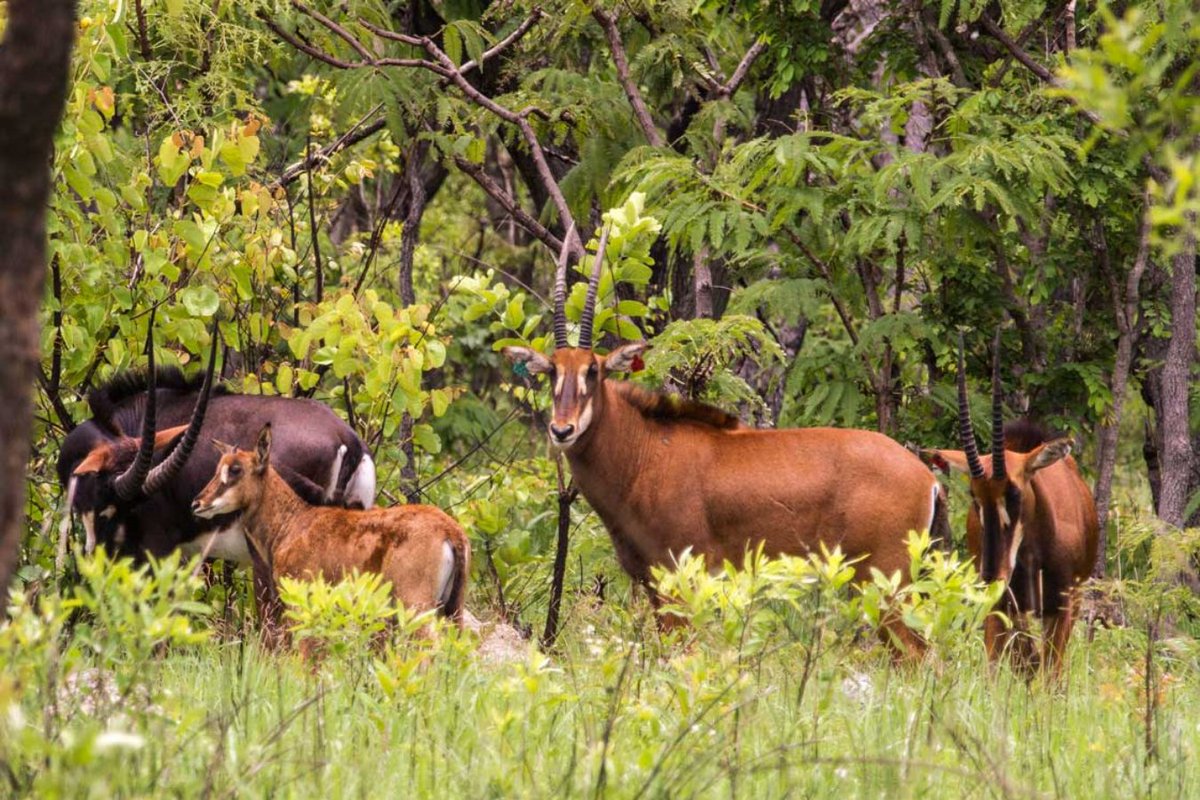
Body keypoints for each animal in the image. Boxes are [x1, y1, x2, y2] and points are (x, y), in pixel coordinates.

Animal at [192, 422, 468, 642]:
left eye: (236, 469)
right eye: (218, 467)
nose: (198, 503)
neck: (292, 522)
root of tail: (451, 531)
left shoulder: (300, 598)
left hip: (415, 604)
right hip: (451, 608)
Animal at [496, 225, 945, 652]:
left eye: (593, 370)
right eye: (551, 371)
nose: (562, 430)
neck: (644, 452)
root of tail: (927, 477)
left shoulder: (680, 578)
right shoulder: (653, 584)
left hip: (886, 580)